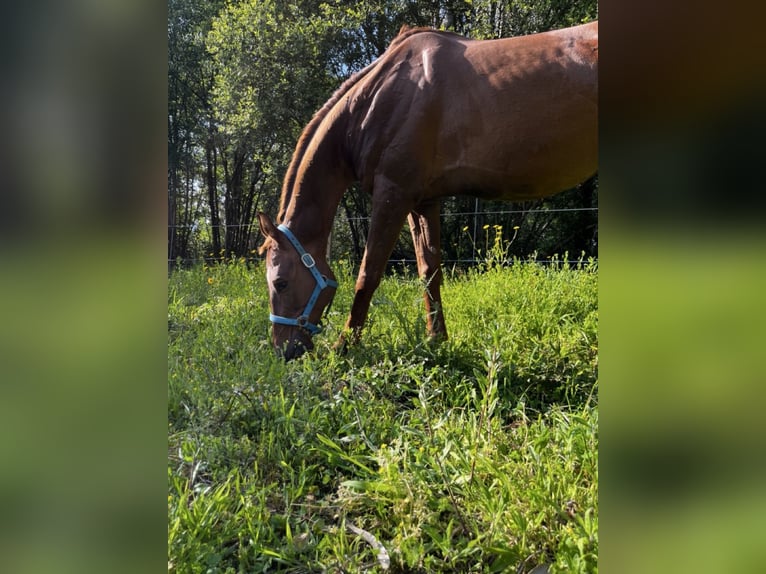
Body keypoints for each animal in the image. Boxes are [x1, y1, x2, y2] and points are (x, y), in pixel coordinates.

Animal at [258, 21, 598, 359]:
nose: (284, 351)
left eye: (281, 283)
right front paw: (436, 339)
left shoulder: (392, 194)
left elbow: (368, 274)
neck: (378, 98)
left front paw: (344, 345)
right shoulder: (422, 202)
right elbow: (429, 270)